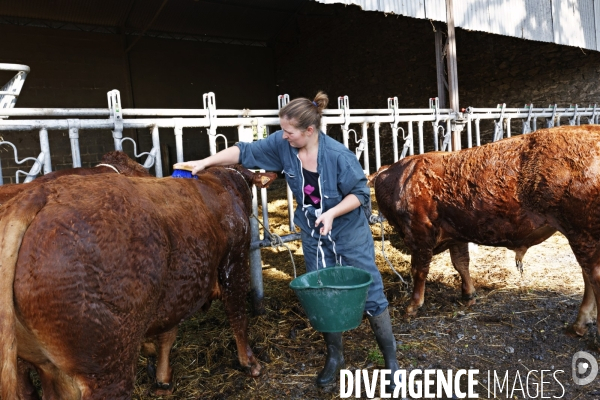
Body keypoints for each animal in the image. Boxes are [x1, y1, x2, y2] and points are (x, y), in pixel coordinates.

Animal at [0, 164, 274, 398]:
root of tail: (43, 194)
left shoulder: (176, 290)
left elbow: (167, 335)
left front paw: (163, 379)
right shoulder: (234, 262)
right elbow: (238, 315)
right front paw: (250, 363)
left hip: (47, 366)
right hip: (108, 369)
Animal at [372, 125, 596, 334]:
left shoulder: (419, 234)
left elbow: (419, 271)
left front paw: (413, 305)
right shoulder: (457, 233)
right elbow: (461, 263)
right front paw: (469, 294)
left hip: (582, 233)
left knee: (593, 274)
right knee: (588, 275)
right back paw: (582, 322)